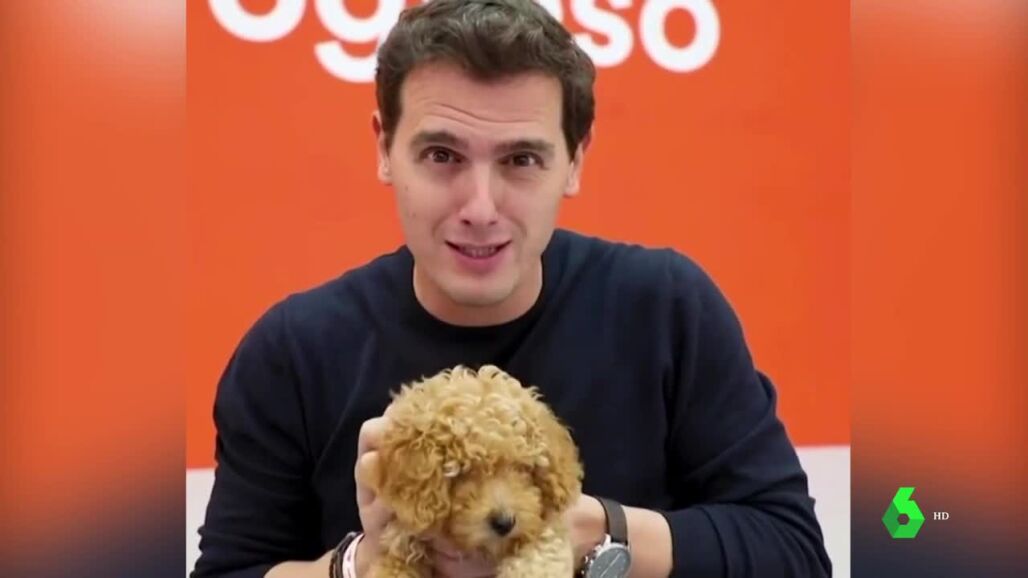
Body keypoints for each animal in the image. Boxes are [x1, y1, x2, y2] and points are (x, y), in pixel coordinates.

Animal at [366, 365, 583, 577]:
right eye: (462, 472)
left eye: (522, 467)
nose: (504, 523)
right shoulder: (402, 542)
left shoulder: (546, 531)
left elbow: (540, 557)